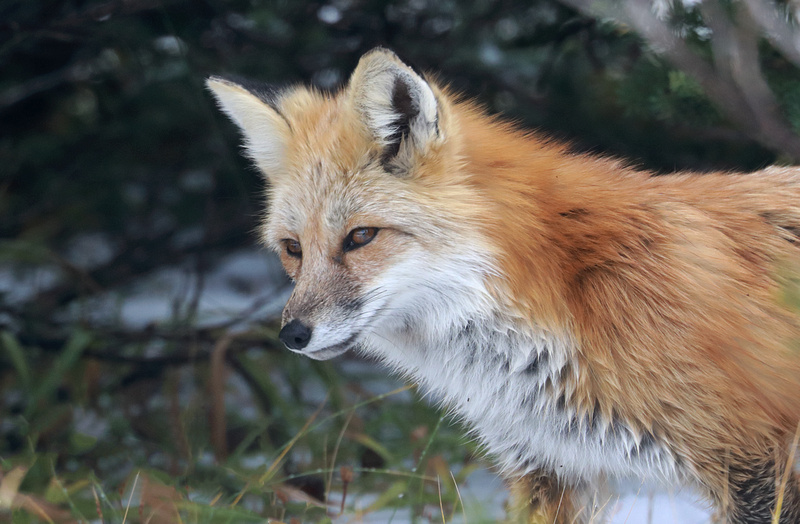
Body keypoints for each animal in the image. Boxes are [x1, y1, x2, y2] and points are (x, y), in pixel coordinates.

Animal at [209, 48, 800, 520]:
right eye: (293, 249)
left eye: (360, 236)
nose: (292, 335)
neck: (569, 297)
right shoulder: (548, 468)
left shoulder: (756, 464)